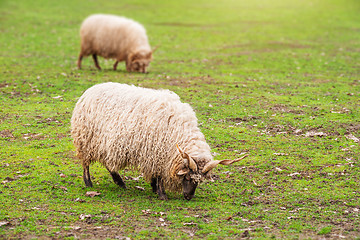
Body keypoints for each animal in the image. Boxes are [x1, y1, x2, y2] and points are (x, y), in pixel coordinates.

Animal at [70, 83, 248, 201]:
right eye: (188, 178)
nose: (188, 197)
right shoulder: (159, 154)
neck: (179, 131)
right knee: (86, 163)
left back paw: (119, 182)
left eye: (199, 181)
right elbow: (160, 175)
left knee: (108, 163)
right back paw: (89, 183)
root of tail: (89, 91)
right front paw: (161, 193)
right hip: (86, 140)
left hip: (103, 144)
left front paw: (154, 188)